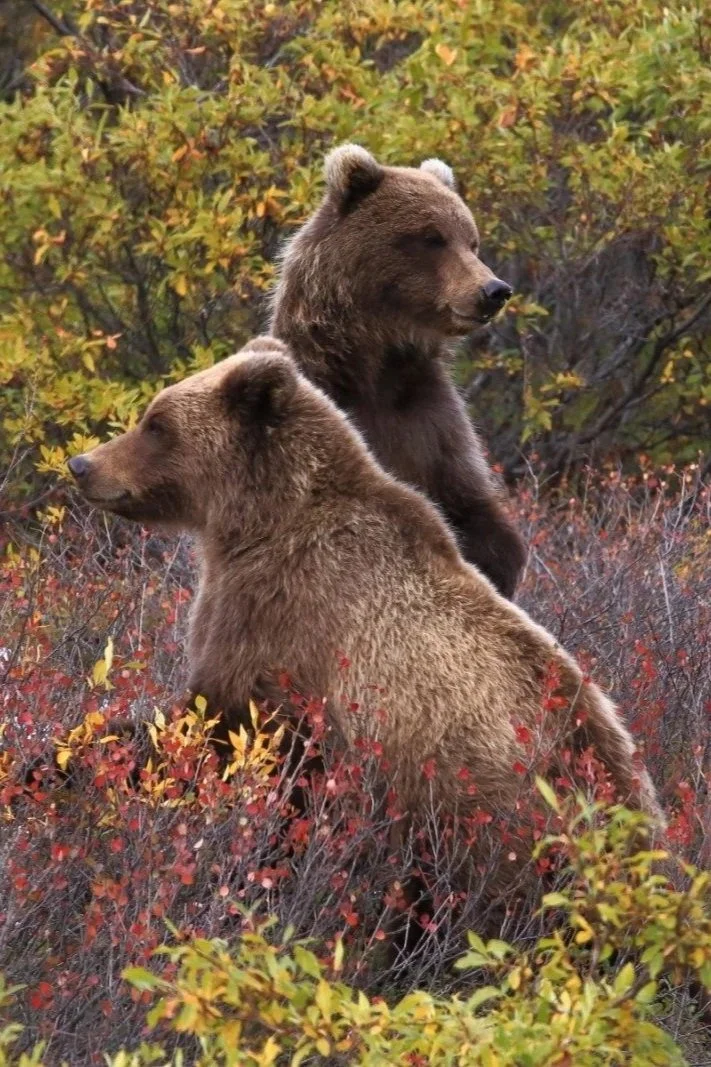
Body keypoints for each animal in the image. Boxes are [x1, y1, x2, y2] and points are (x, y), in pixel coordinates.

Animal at [67, 336, 664, 900]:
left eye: (157, 423)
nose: (82, 465)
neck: (255, 524)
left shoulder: (284, 614)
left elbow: (217, 723)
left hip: (479, 814)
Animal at [269, 145, 526, 600]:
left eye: (471, 240)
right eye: (432, 237)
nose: (494, 290)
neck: (376, 364)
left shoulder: (430, 418)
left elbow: (472, 513)